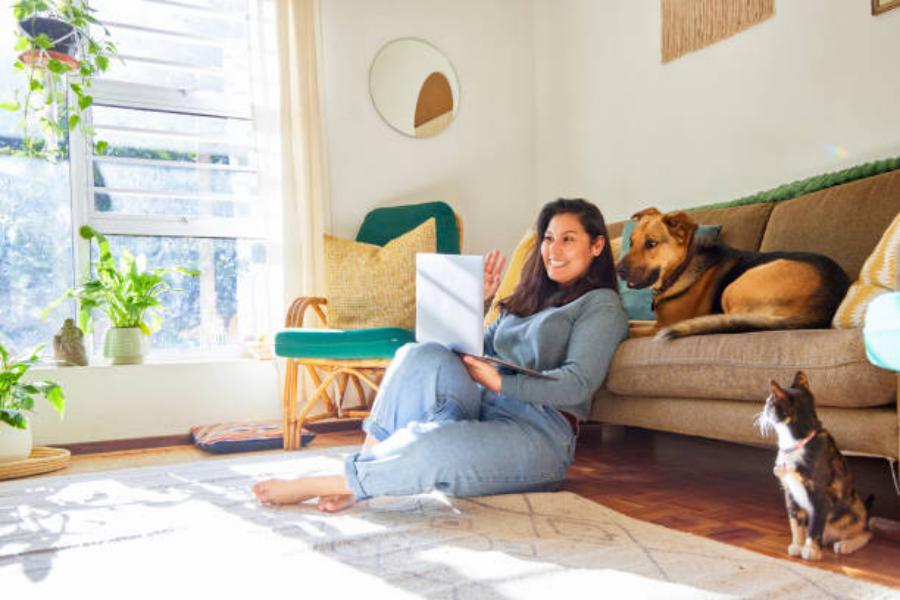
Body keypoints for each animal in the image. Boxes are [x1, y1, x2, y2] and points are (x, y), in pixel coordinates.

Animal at [620, 207, 852, 340]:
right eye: (630, 242)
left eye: (651, 244)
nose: (618, 270)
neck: (681, 267)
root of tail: (825, 306)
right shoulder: (654, 323)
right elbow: (630, 322)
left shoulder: (660, 326)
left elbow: (630, 329)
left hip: (734, 288)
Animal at [752, 370, 872, 564]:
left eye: (769, 403)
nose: (762, 410)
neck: (797, 443)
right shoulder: (790, 492)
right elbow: (795, 522)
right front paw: (797, 545)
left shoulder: (820, 496)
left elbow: (814, 526)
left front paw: (811, 551)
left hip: (853, 508)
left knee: (866, 532)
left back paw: (846, 545)